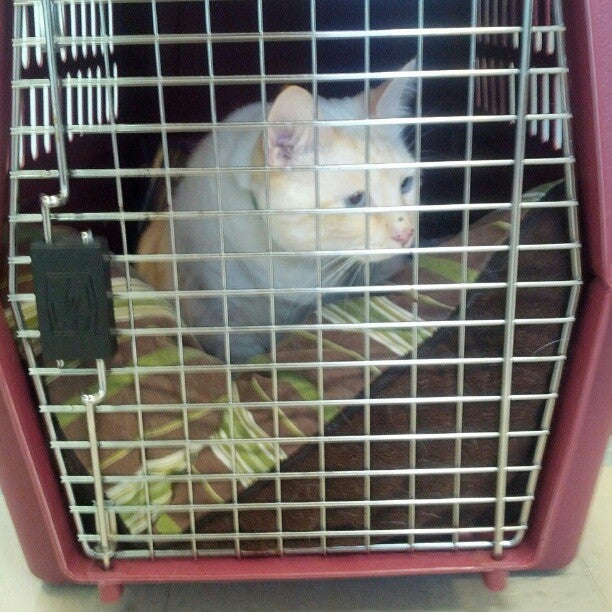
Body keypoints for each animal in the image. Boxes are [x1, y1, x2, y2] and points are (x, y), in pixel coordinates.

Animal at [137, 59, 418, 363]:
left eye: (406, 184)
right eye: (356, 199)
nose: (406, 233)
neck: (291, 262)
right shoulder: (214, 306)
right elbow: (238, 351)